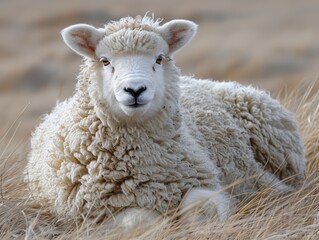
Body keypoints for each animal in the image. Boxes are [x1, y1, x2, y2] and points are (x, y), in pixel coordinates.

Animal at [24, 15, 304, 227]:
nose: (135, 90)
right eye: (105, 61)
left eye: (159, 58)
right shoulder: (95, 213)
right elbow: (140, 221)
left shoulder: (207, 183)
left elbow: (203, 210)